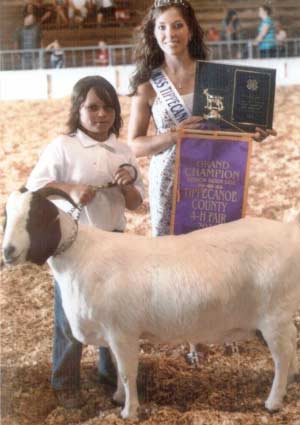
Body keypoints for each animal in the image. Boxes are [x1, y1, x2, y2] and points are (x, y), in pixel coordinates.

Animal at [2, 187, 300, 420]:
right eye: (7, 216)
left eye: (36, 215)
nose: (8, 251)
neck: (80, 254)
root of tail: (290, 233)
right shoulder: (112, 334)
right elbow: (117, 366)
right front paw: (118, 398)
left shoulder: (122, 332)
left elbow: (126, 372)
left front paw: (129, 412)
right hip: (278, 317)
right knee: (292, 342)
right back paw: (292, 381)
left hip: (274, 315)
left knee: (282, 355)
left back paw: (273, 402)